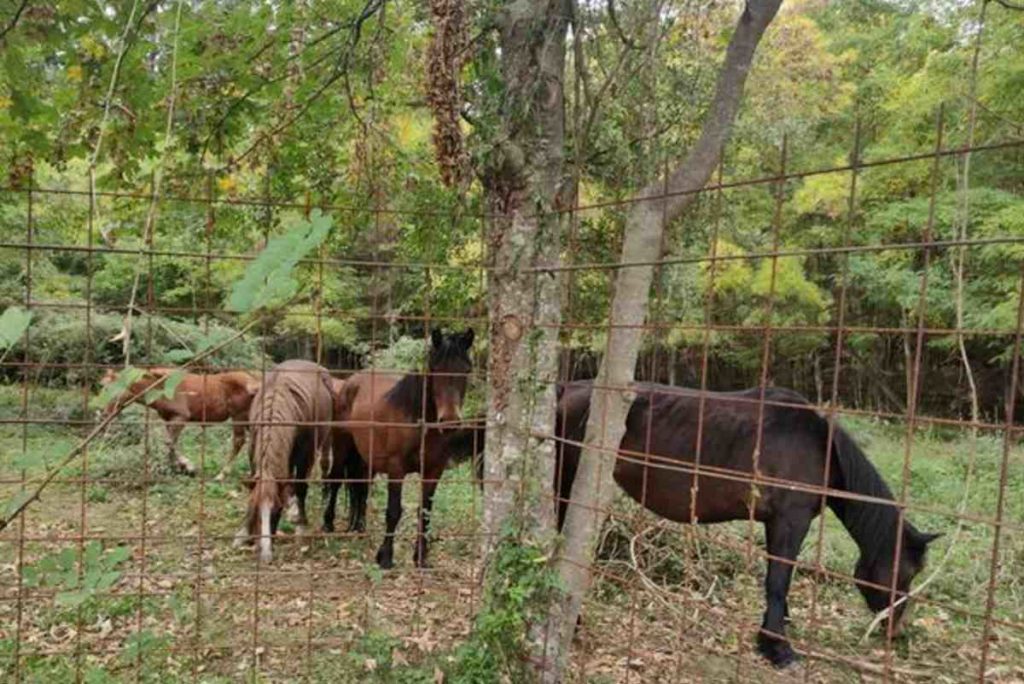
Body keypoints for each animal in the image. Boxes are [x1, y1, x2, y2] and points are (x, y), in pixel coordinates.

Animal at [100, 367, 259, 476]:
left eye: (110, 388)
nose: (104, 412)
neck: (161, 388)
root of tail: (254, 381)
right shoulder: (169, 420)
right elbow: (171, 444)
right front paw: (178, 468)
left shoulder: (181, 417)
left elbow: (169, 443)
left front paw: (187, 466)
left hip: (239, 416)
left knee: (239, 441)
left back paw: (223, 474)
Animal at [234, 359, 334, 563]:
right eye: (255, 510)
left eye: (275, 510)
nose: (265, 554)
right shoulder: (254, 450)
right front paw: (244, 532)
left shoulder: (305, 452)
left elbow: (301, 486)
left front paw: (300, 525)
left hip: (325, 436)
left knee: (323, 464)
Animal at [323, 328, 475, 569]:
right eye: (435, 369)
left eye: (466, 370)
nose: (449, 421)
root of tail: (348, 383)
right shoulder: (396, 469)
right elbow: (393, 511)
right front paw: (385, 557)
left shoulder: (433, 472)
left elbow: (425, 512)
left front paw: (421, 557)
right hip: (342, 446)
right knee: (336, 480)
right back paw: (328, 524)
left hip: (365, 457)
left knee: (361, 487)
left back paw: (359, 527)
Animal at [554, 380, 941, 667]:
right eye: (907, 572)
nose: (896, 630)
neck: (820, 446)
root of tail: (568, 389)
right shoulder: (790, 521)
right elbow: (778, 581)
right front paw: (778, 648)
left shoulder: (776, 523)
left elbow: (778, 579)